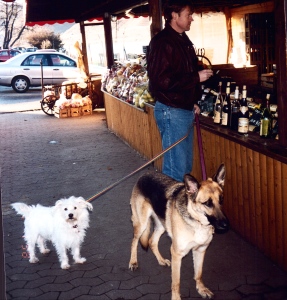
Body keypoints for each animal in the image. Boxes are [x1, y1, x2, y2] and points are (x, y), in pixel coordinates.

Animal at [129, 164, 231, 300]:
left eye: (221, 200)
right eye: (207, 203)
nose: (226, 225)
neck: (197, 221)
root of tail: (144, 174)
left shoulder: (200, 250)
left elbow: (198, 274)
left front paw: (201, 289)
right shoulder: (176, 254)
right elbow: (176, 282)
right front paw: (176, 298)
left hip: (162, 225)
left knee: (152, 241)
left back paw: (161, 260)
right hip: (142, 224)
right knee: (134, 241)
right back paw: (133, 262)